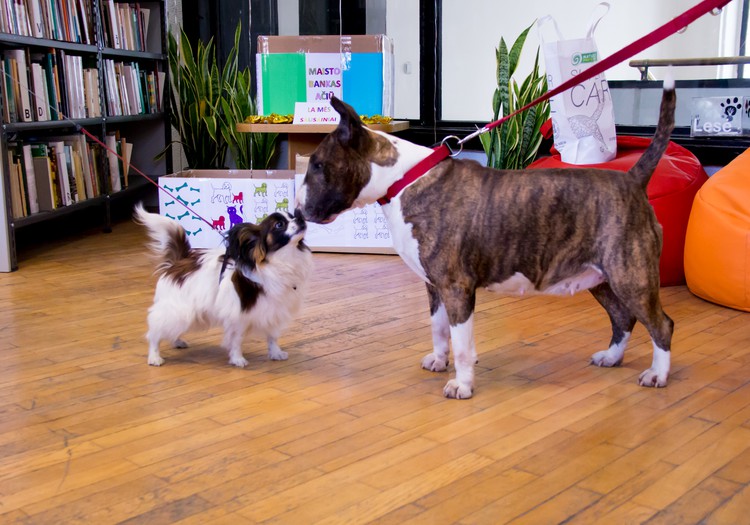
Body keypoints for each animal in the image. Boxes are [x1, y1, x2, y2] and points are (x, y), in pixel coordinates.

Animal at [134, 203, 312, 366]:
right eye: (279, 225)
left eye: (292, 216)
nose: (301, 218)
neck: (281, 260)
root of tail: (179, 261)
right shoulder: (238, 315)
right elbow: (237, 340)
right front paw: (237, 359)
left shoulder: (274, 309)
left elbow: (272, 336)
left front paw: (275, 353)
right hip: (179, 311)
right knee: (154, 333)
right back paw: (154, 357)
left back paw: (177, 341)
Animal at [298, 81, 680, 398]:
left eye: (318, 165)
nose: (298, 209)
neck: (404, 178)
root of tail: (632, 179)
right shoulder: (434, 285)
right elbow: (439, 329)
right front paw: (439, 361)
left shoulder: (456, 286)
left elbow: (462, 342)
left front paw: (462, 385)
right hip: (601, 277)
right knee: (623, 318)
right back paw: (611, 357)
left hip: (630, 274)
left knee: (661, 324)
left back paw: (658, 375)